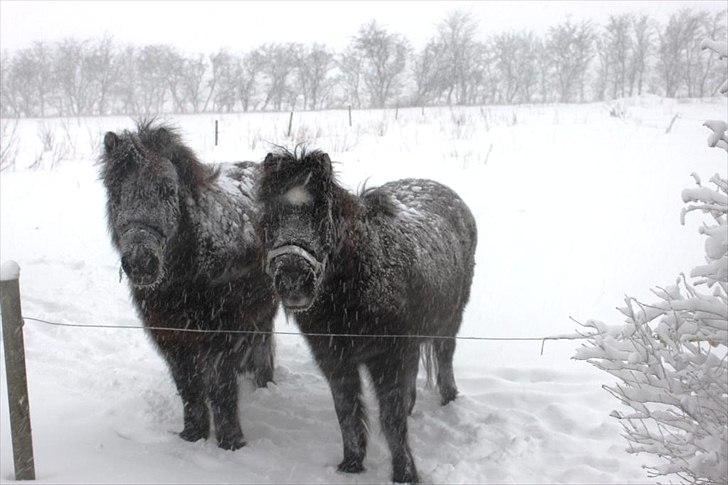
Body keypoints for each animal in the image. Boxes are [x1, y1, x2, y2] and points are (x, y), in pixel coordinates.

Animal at [100, 121, 277, 450]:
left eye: (167, 189)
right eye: (115, 192)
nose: (141, 262)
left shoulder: (221, 338)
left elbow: (221, 390)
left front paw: (231, 443)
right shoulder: (172, 339)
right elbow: (189, 388)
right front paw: (192, 436)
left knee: (262, 343)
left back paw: (265, 384)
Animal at [256, 148, 477, 482]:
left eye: (321, 215)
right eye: (269, 216)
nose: (294, 279)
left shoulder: (388, 358)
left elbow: (391, 419)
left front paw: (404, 473)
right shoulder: (335, 360)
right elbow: (347, 412)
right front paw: (351, 464)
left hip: (449, 321)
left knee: (444, 355)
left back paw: (449, 399)